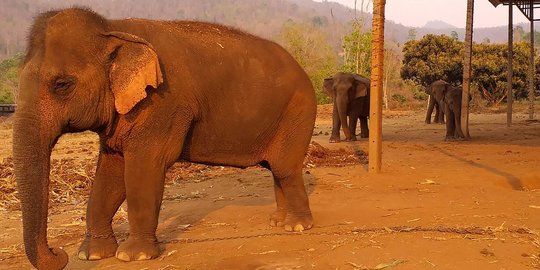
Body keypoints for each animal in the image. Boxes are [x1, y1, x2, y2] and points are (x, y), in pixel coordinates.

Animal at [13, 7, 316, 268]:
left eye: (62, 84)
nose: (57, 253)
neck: (113, 28)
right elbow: (110, 173)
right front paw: (92, 255)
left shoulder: (163, 103)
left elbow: (144, 167)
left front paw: (134, 256)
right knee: (276, 168)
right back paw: (277, 221)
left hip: (298, 111)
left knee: (285, 168)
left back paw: (297, 226)